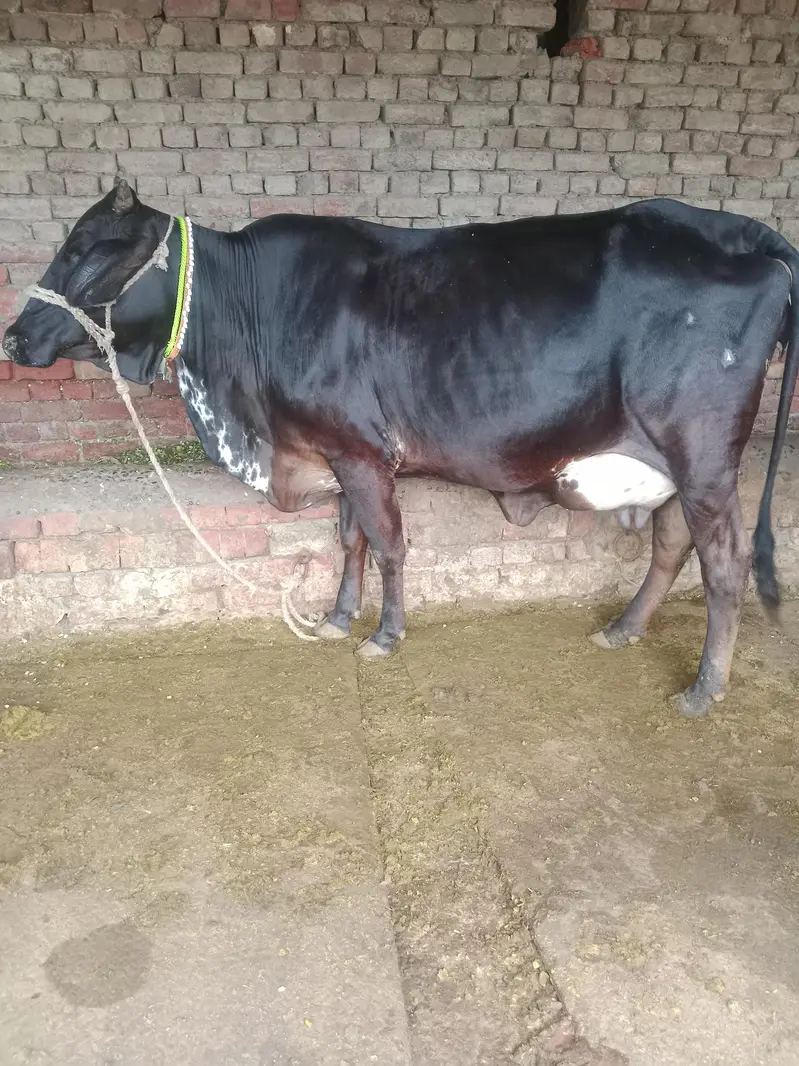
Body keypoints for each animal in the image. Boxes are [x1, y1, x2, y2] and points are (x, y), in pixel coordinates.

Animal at [3, 180, 797, 718]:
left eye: (87, 254)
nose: (13, 337)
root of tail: (739, 231)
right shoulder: (333, 451)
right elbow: (349, 539)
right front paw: (335, 617)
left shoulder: (360, 452)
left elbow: (386, 543)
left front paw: (384, 634)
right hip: (670, 463)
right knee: (670, 545)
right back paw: (622, 630)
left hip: (702, 455)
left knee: (722, 564)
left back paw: (703, 688)